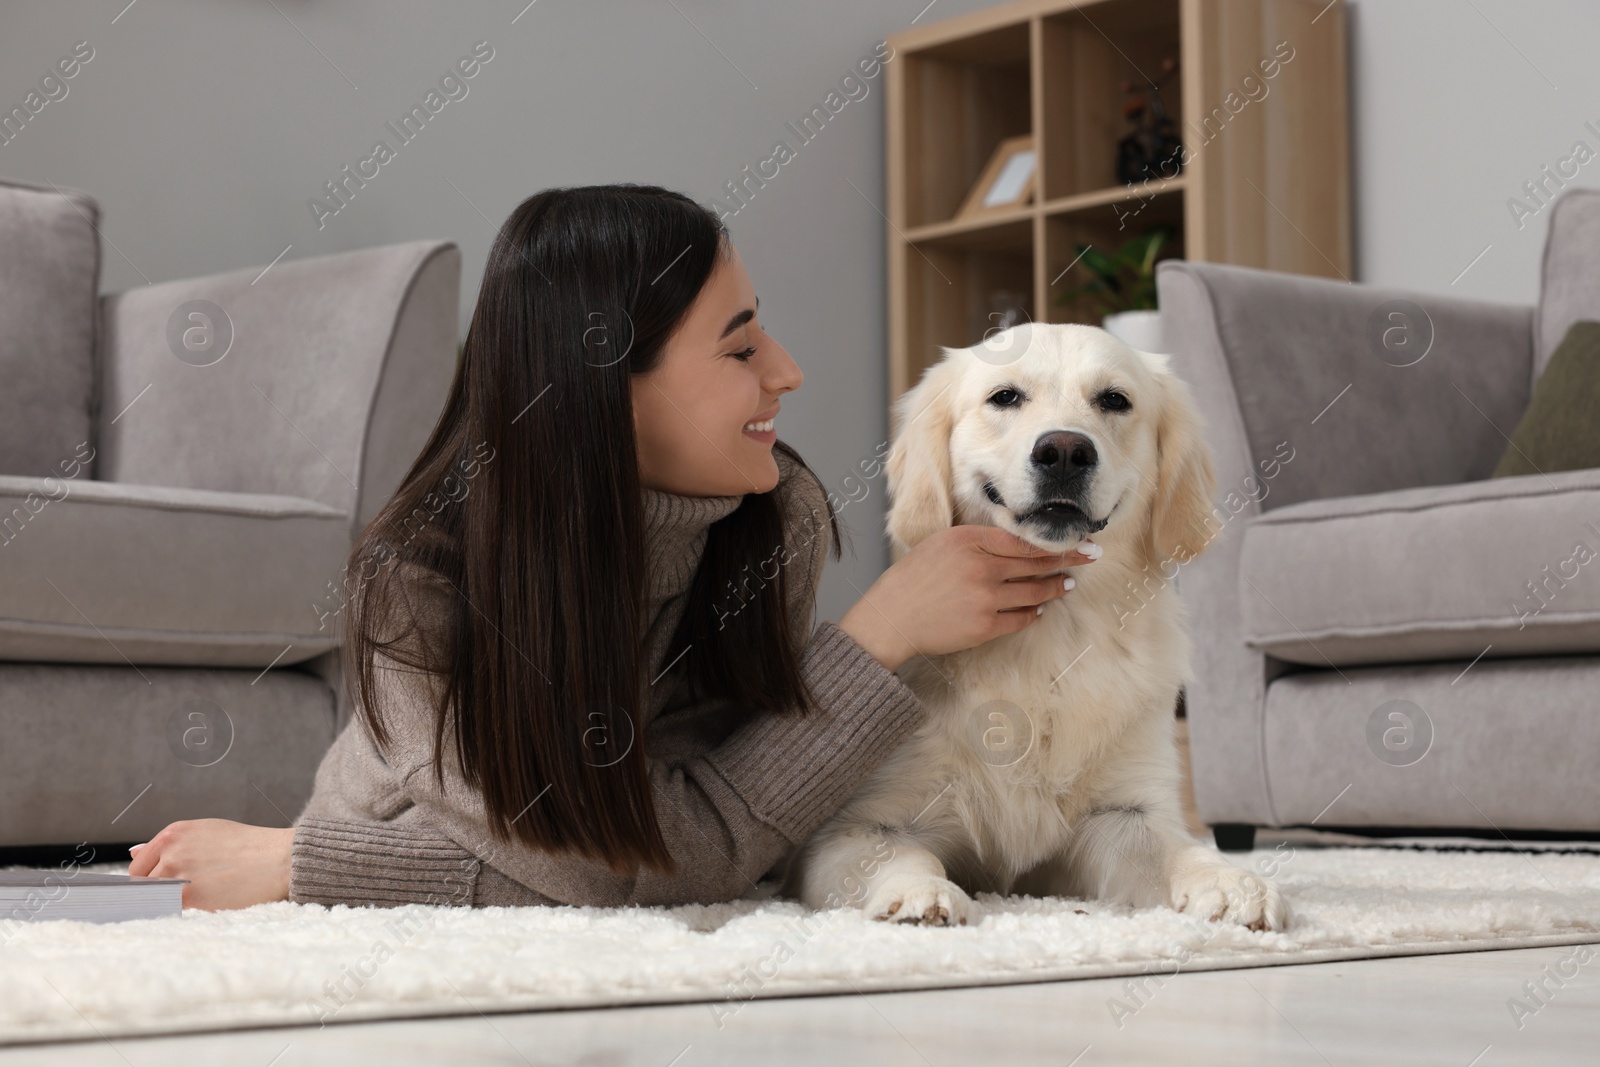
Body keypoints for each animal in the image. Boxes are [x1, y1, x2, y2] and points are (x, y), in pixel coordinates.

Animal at [780, 321, 1292, 927]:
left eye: (1114, 400)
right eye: (1005, 397)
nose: (1065, 451)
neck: (1048, 636)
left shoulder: (1125, 812)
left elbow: (1180, 849)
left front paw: (1235, 881)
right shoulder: (854, 827)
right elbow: (902, 854)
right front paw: (920, 893)